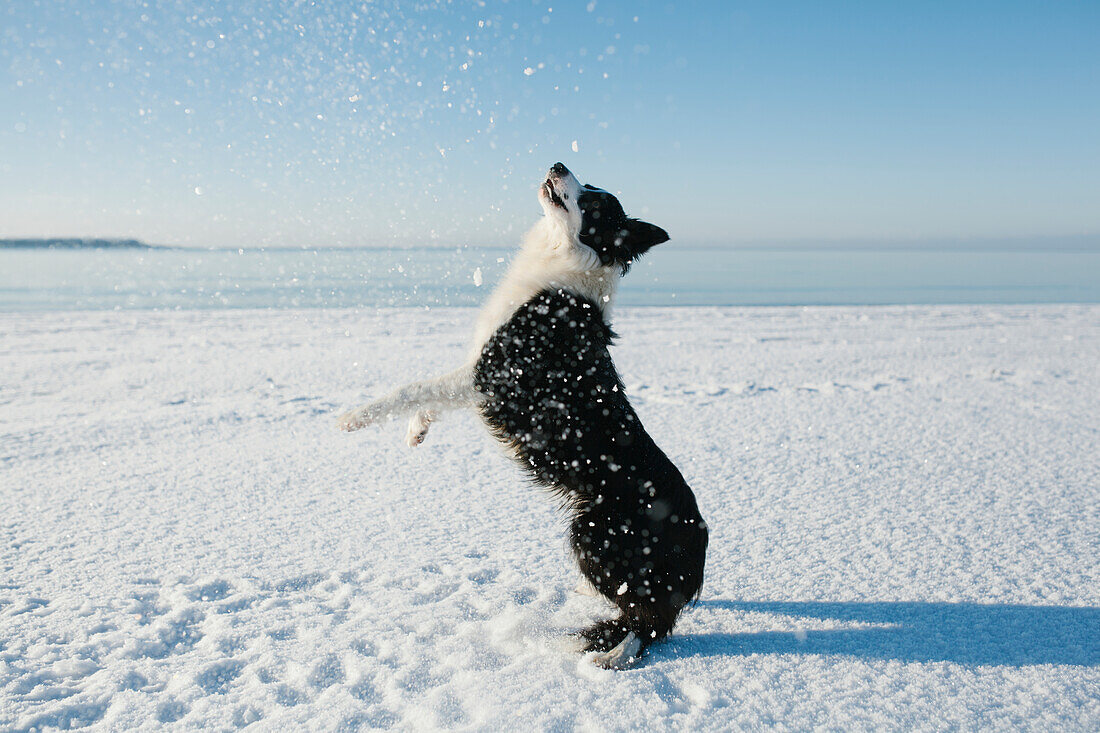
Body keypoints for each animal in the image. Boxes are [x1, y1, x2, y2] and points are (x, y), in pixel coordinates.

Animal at [338, 162, 708, 664]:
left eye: (593, 201)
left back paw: (612, 656)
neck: (565, 265)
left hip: (594, 531)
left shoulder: (493, 374)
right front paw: (417, 430)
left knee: (648, 620)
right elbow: (429, 396)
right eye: (587, 181)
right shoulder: (476, 374)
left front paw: (354, 418)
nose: (558, 164)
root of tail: (698, 536)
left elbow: (412, 387)